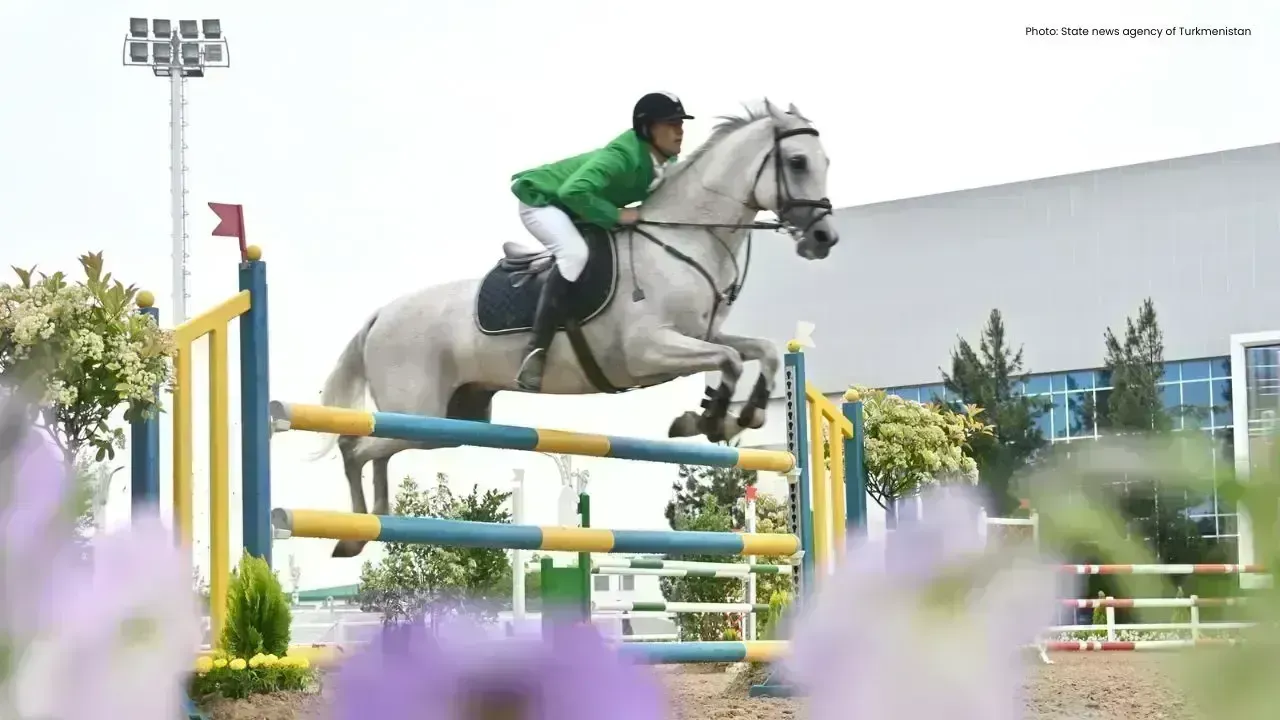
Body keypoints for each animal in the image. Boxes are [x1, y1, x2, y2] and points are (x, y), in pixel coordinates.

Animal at [313, 99, 840, 557]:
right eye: (797, 162)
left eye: (825, 161)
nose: (823, 239)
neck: (682, 240)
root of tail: (381, 314)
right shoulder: (648, 352)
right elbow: (730, 361)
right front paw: (707, 420)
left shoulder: (701, 336)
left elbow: (762, 351)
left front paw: (736, 416)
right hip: (420, 412)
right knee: (356, 446)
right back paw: (353, 533)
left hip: (452, 420)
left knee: (379, 451)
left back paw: (375, 520)